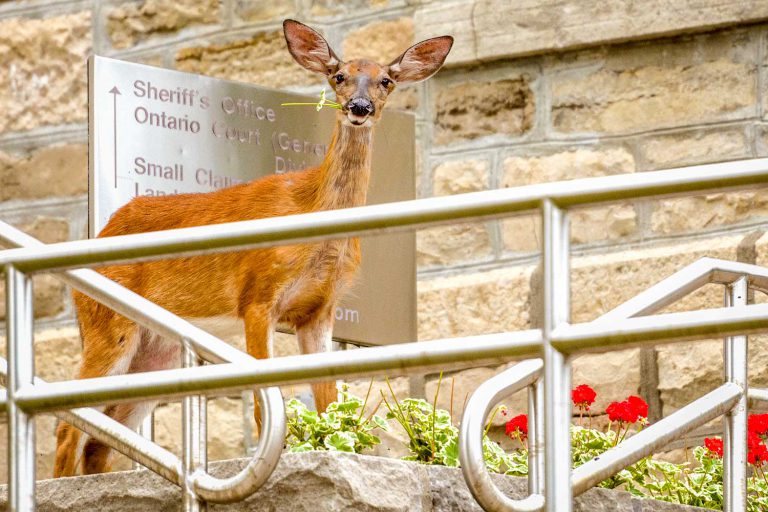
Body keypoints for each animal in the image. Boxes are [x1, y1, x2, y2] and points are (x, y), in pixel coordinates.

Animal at [53, 19, 453, 477]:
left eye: (386, 80)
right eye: (338, 76)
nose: (359, 107)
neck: (313, 218)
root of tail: (99, 234)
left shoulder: (319, 309)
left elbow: (328, 402)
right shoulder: (258, 296)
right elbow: (266, 407)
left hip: (158, 350)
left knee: (99, 440)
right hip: (107, 323)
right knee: (68, 426)